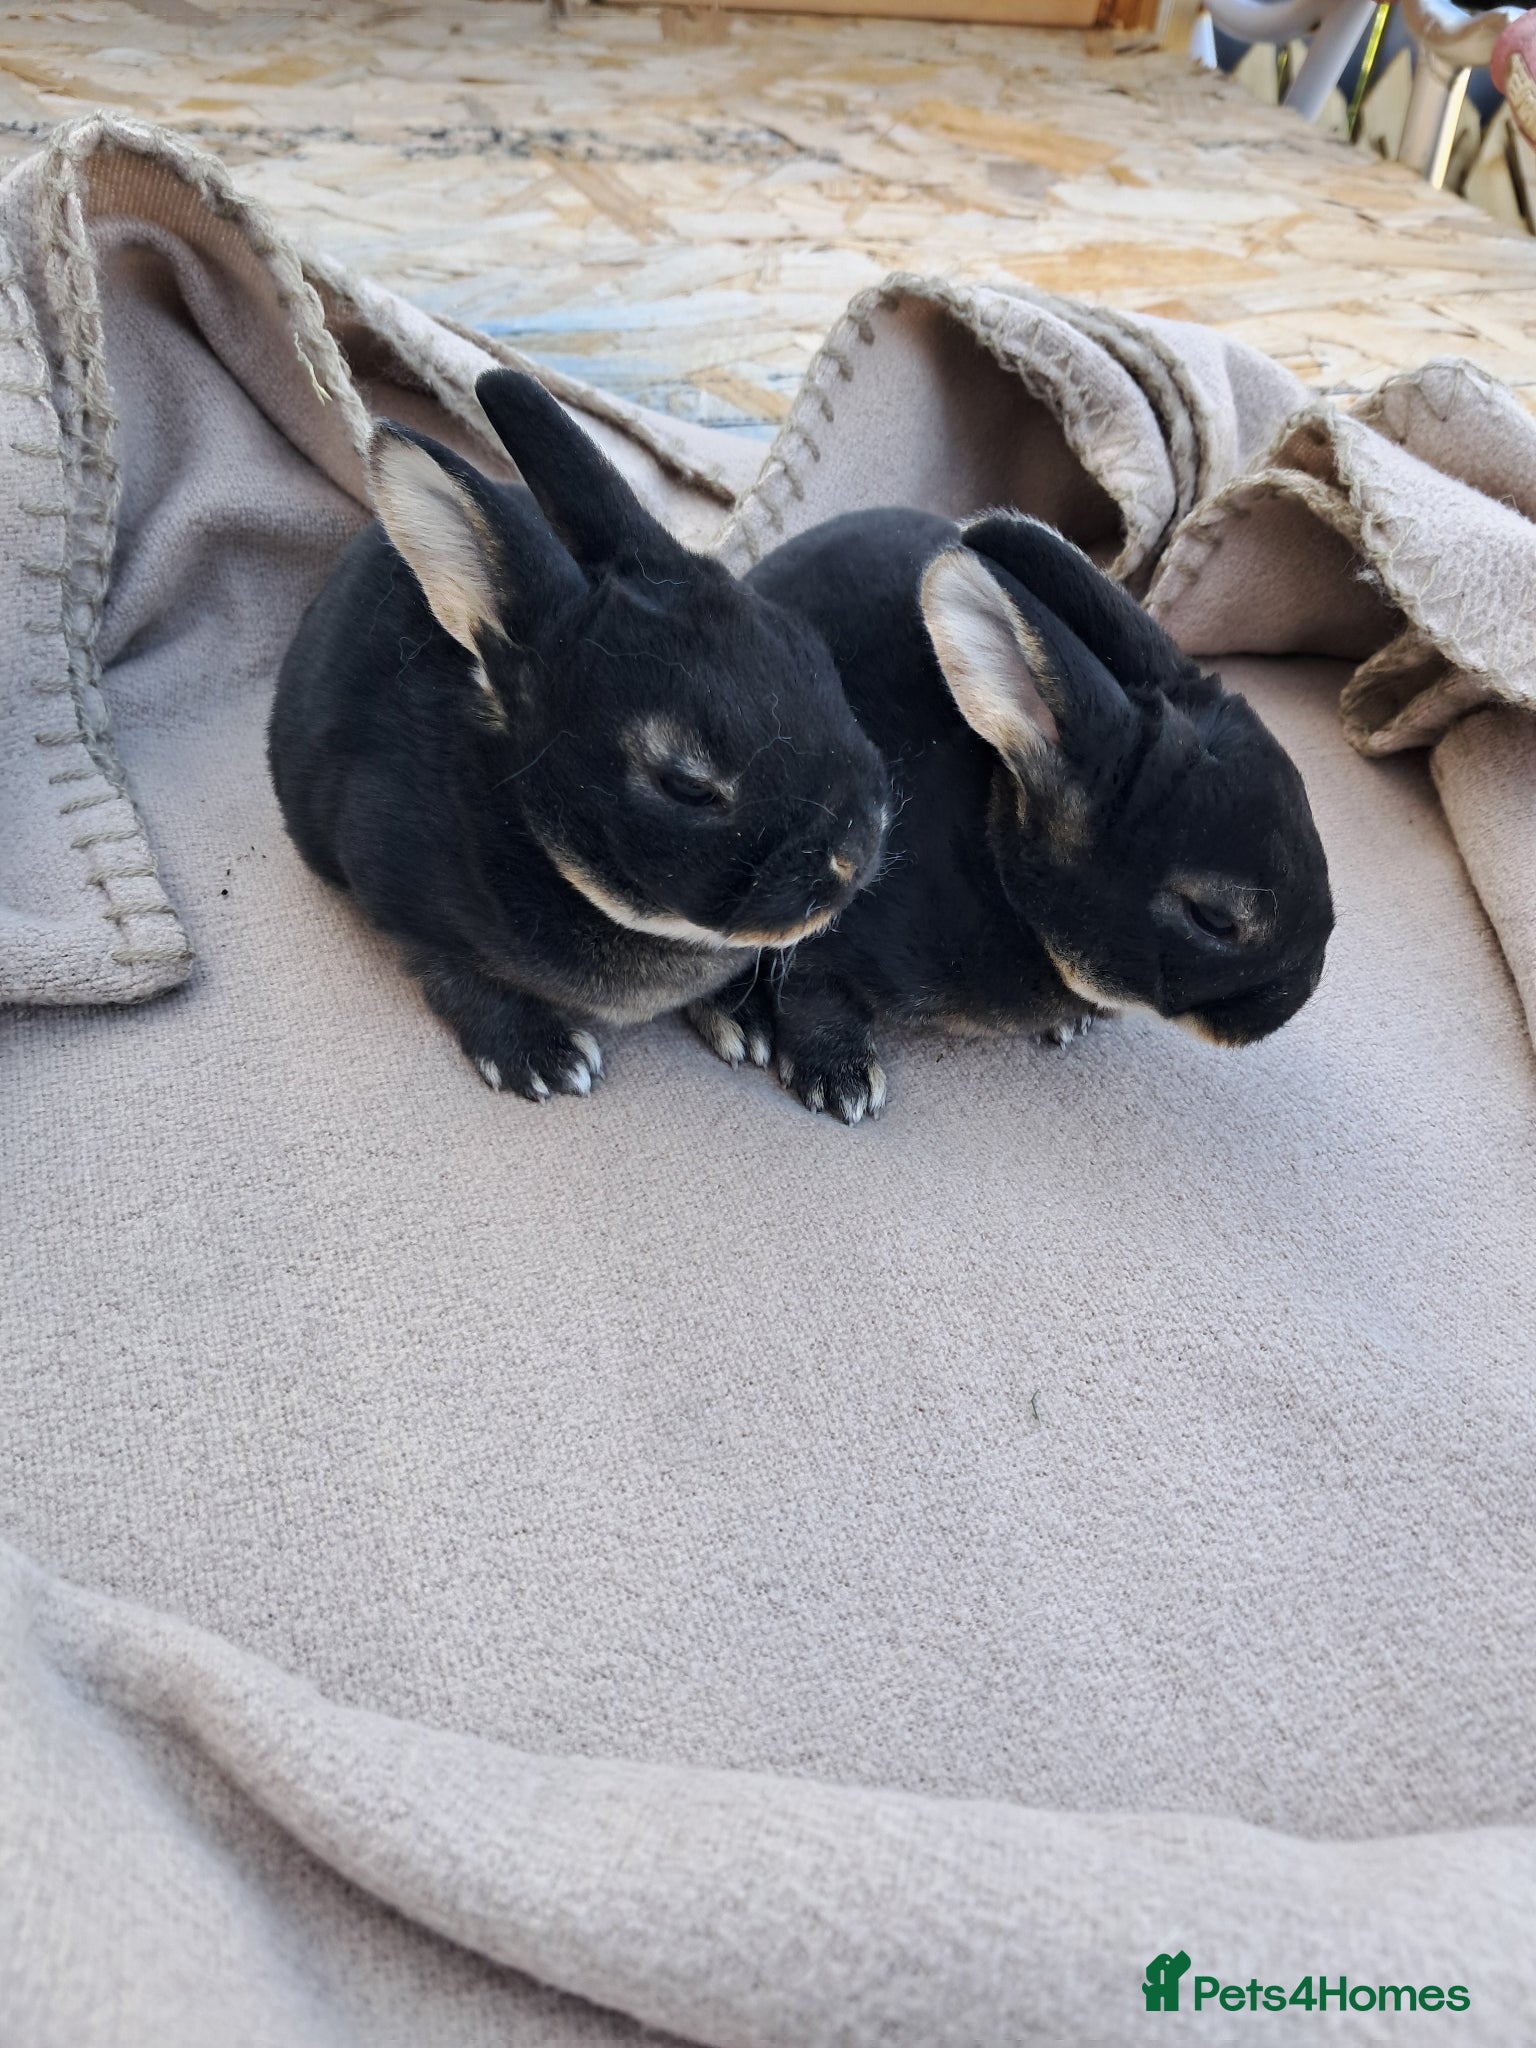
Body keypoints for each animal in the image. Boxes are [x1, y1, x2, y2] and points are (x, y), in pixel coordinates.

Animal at [268, 369, 889, 1100]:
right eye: (687, 786)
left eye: (814, 655)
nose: (856, 852)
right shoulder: (397, 894)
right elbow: (455, 977)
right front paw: (541, 1058)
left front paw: (744, 1021)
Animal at [688, 506, 1334, 1123]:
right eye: (1215, 919)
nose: (1296, 996)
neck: (1002, 875)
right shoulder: (822, 915)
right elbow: (811, 987)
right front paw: (840, 1082)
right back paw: (738, 1024)